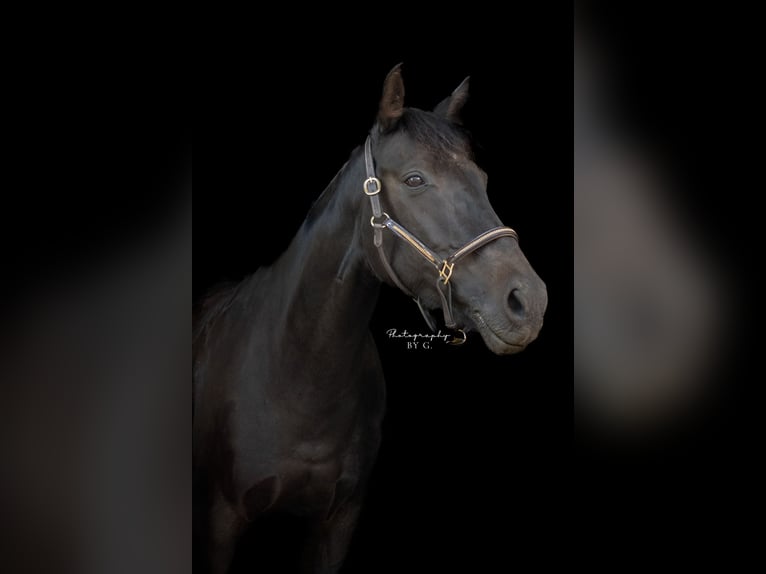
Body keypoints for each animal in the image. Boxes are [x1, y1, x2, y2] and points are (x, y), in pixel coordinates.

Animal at [193, 64, 548, 574]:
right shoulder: (221, 520)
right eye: (416, 179)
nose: (528, 301)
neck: (297, 376)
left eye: (482, 178)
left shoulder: (338, 520)